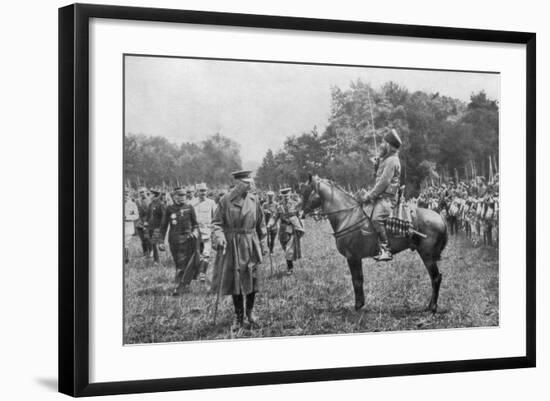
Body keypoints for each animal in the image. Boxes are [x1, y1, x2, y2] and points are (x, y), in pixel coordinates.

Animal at [302, 175, 448, 312]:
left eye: (307, 191)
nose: (301, 212)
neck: (348, 216)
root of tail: (440, 217)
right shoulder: (356, 258)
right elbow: (359, 279)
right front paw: (361, 303)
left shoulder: (352, 257)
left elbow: (356, 280)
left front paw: (358, 305)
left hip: (427, 256)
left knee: (436, 278)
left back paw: (432, 307)